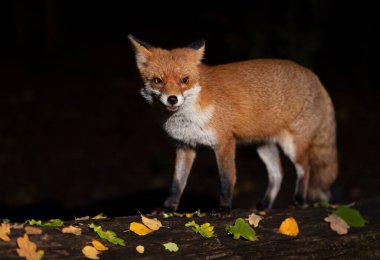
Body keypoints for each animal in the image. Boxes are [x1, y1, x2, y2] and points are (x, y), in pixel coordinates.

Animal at [128, 35, 338, 215]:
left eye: (184, 80)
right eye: (158, 80)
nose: (172, 99)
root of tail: (314, 76)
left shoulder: (224, 142)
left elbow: (226, 180)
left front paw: (224, 208)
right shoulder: (185, 145)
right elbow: (177, 183)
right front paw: (168, 208)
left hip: (292, 145)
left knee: (305, 168)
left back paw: (299, 200)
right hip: (262, 145)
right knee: (278, 173)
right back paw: (264, 205)